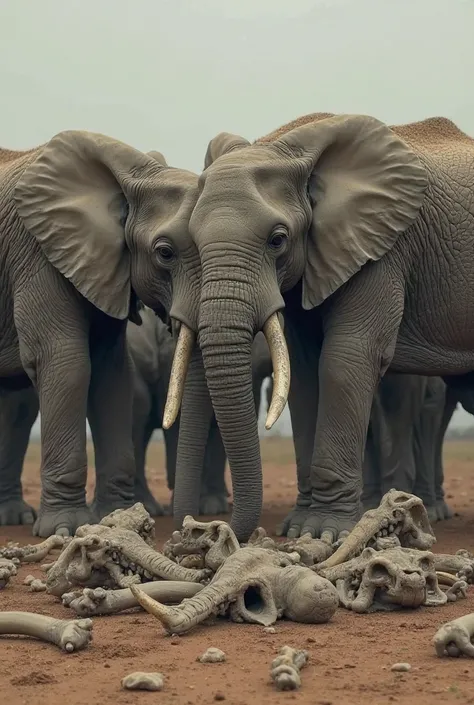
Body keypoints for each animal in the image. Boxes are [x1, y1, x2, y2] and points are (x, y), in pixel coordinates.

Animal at [0, 132, 201, 532]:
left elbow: (113, 375)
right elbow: (66, 363)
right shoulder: (37, 252)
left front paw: (116, 521)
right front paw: (65, 528)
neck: (133, 172)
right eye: (165, 253)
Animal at [168, 111, 474, 540]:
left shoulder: (382, 246)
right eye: (191, 244)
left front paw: (324, 532)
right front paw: (299, 528)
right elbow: (303, 371)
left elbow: (345, 359)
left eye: (277, 240)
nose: (203, 526)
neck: (289, 146)